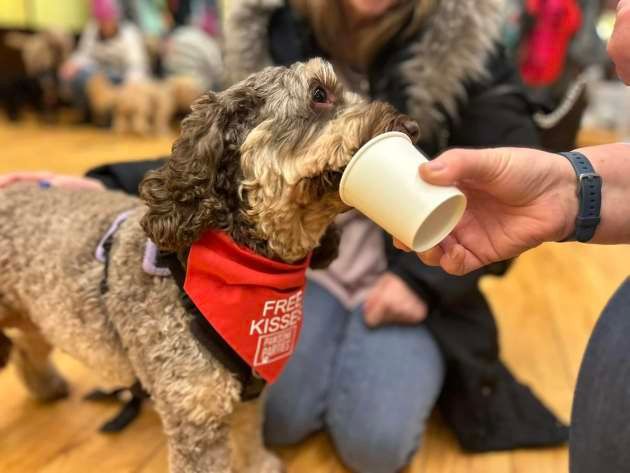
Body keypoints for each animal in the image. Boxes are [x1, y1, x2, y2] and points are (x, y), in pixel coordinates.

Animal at [0, 59, 420, 472]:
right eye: (319, 93)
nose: (413, 129)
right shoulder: (196, 419)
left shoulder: (251, 395)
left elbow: (250, 443)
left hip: (39, 315)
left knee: (27, 349)